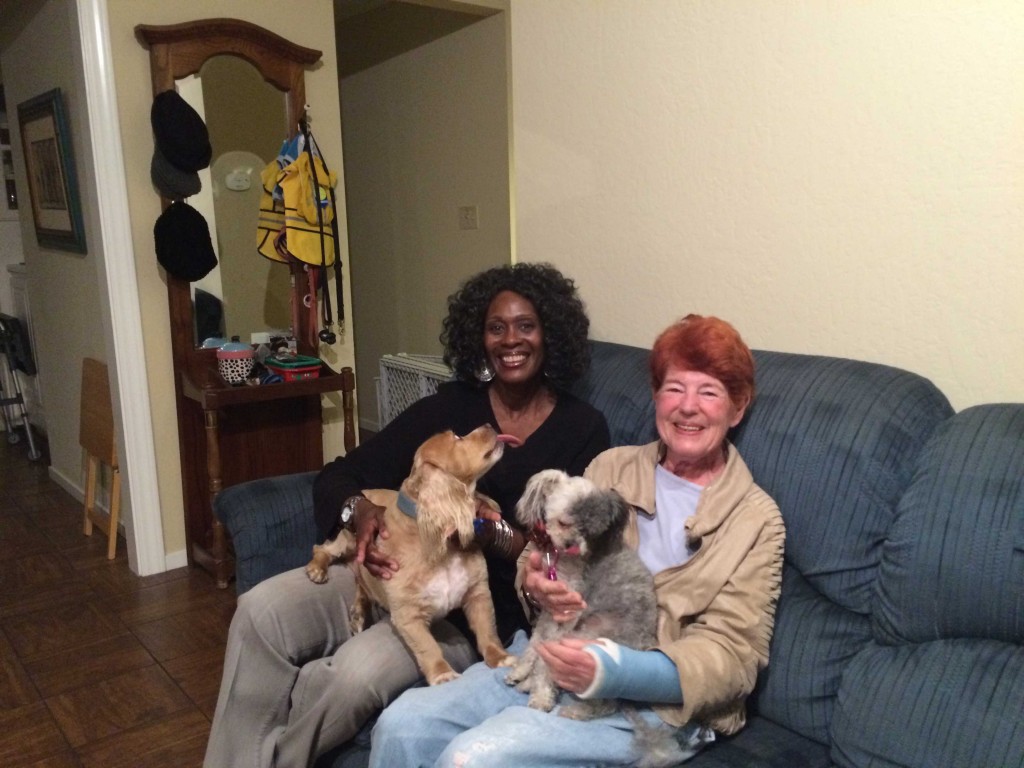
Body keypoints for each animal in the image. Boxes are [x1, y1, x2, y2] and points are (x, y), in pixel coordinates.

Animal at [301, 428, 512, 684]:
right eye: (457, 438)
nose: (490, 426)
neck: (443, 544)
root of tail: (364, 492)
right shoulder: (408, 617)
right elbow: (428, 647)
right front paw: (442, 674)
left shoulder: (478, 594)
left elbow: (487, 631)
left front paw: (500, 657)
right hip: (345, 540)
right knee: (321, 549)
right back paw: (317, 569)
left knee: (361, 582)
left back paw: (359, 612)